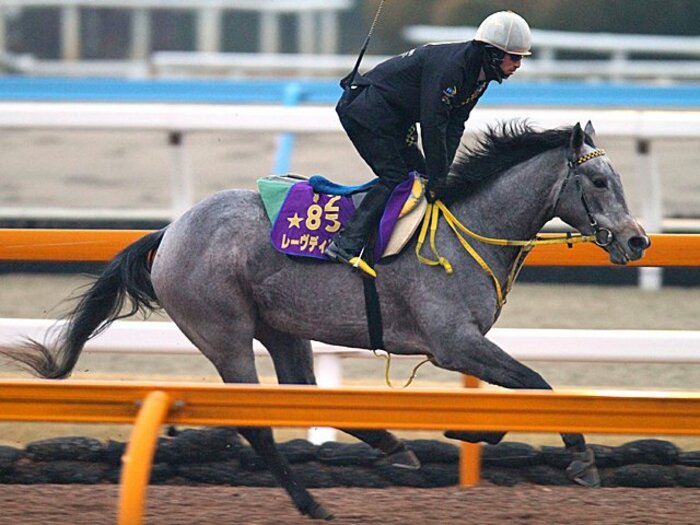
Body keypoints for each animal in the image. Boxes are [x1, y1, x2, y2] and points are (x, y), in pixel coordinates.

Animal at [1, 121, 649, 519]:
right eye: (598, 181)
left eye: (617, 179)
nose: (638, 240)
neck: (470, 228)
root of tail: (170, 230)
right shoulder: (451, 342)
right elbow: (540, 385)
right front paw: (581, 459)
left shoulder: (464, 346)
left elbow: (519, 394)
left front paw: (467, 433)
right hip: (226, 334)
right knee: (258, 425)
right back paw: (313, 501)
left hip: (283, 329)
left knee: (306, 394)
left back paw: (393, 445)